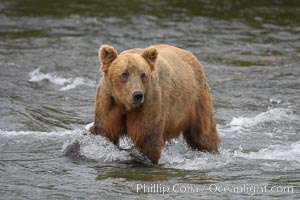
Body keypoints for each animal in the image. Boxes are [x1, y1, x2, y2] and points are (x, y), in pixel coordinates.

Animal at [90, 44, 219, 164]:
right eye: (124, 74)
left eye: (143, 74)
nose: (137, 95)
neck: (124, 104)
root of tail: (191, 56)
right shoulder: (109, 103)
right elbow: (105, 132)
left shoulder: (149, 103)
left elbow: (147, 138)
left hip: (196, 100)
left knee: (203, 132)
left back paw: (210, 150)